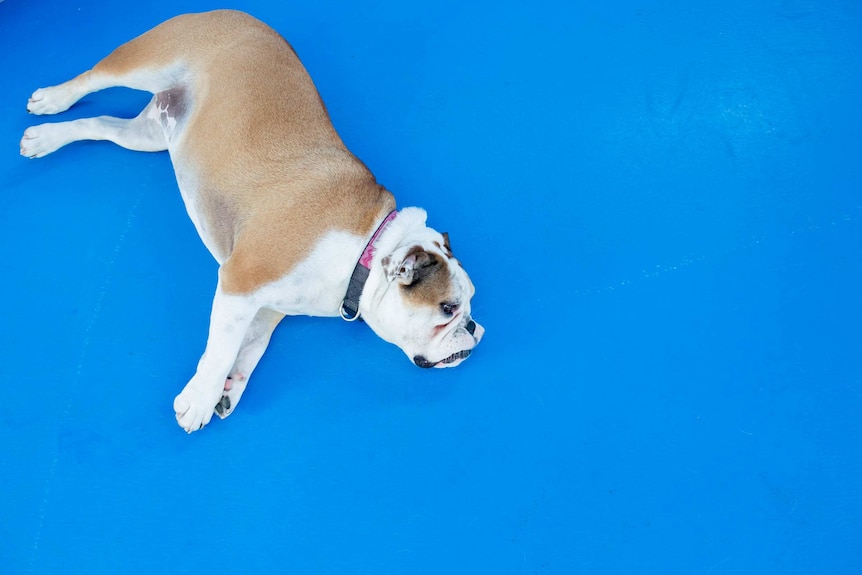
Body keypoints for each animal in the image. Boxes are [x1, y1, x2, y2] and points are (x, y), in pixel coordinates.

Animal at [20, 10, 482, 432]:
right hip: (143, 61)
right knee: (90, 78)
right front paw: (200, 400)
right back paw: (50, 101)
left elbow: (250, 345)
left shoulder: (264, 306)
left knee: (98, 124)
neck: (364, 252)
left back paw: (46, 139)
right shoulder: (239, 281)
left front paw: (229, 388)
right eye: (448, 308)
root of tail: (239, 14)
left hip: (147, 137)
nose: (475, 329)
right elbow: (221, 347)